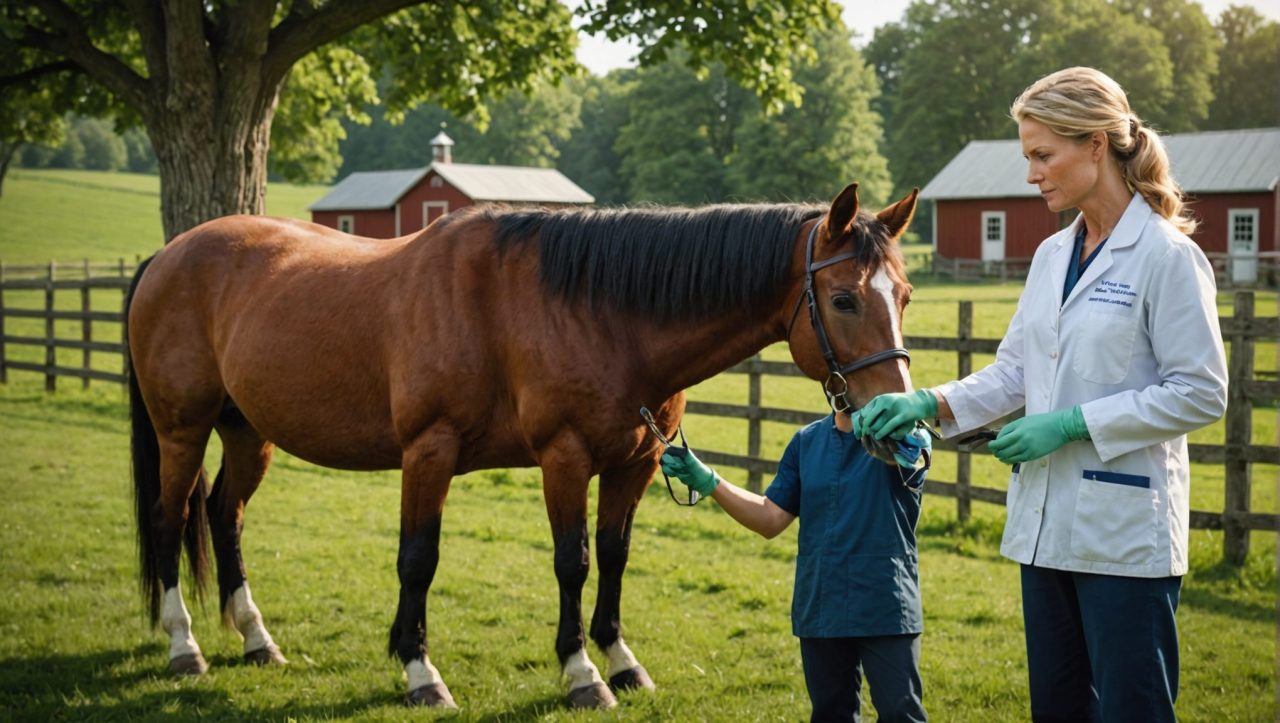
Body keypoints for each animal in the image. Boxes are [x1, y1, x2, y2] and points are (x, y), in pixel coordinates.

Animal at [125, 182, 919, 709]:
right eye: (844, 298)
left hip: (246, 432)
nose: (897, 424)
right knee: (169, 520)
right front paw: (470, 672)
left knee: (223, 514)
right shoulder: (487, 455)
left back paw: (256, 639)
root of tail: (167, 255)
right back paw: (184, 645)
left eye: (905, 295)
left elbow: (615, 557)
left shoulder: (632, 464)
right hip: (181, 430)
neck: (588, 312)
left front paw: (620, 659)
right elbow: (478, 560)